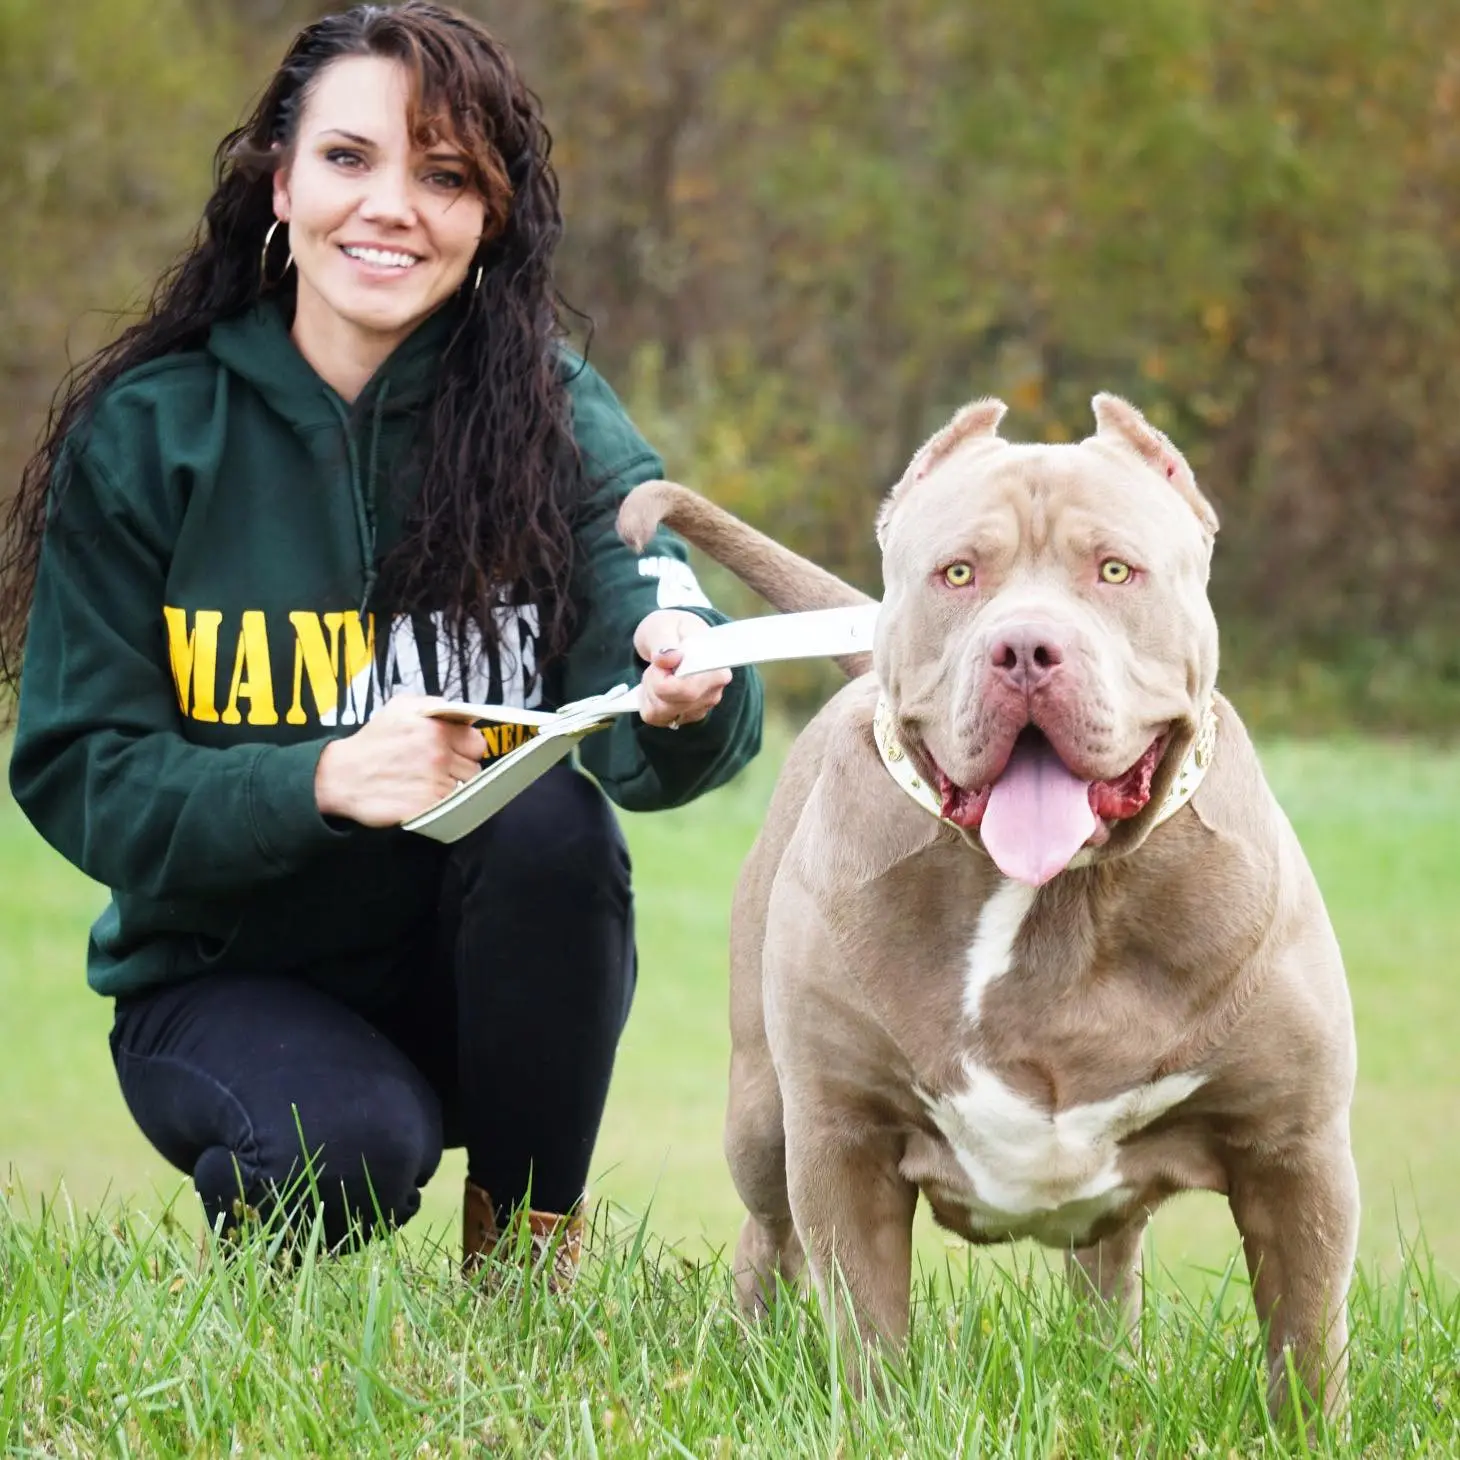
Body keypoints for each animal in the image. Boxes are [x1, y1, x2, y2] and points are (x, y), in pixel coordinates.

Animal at [613, 394, 1354, 1419]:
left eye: (1114, 570)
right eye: (958, 573)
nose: (1026, 649)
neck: (1054, 899)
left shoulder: (1296, 1151)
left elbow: (1306, 1340)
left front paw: (1305, 1429)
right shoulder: (843, 1140)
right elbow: (867, 1324)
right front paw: (877, 1422)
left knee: (1108, 1263)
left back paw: (1107, 1371)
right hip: (762, 1114)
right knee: (767, 1236)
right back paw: (748, 1346)